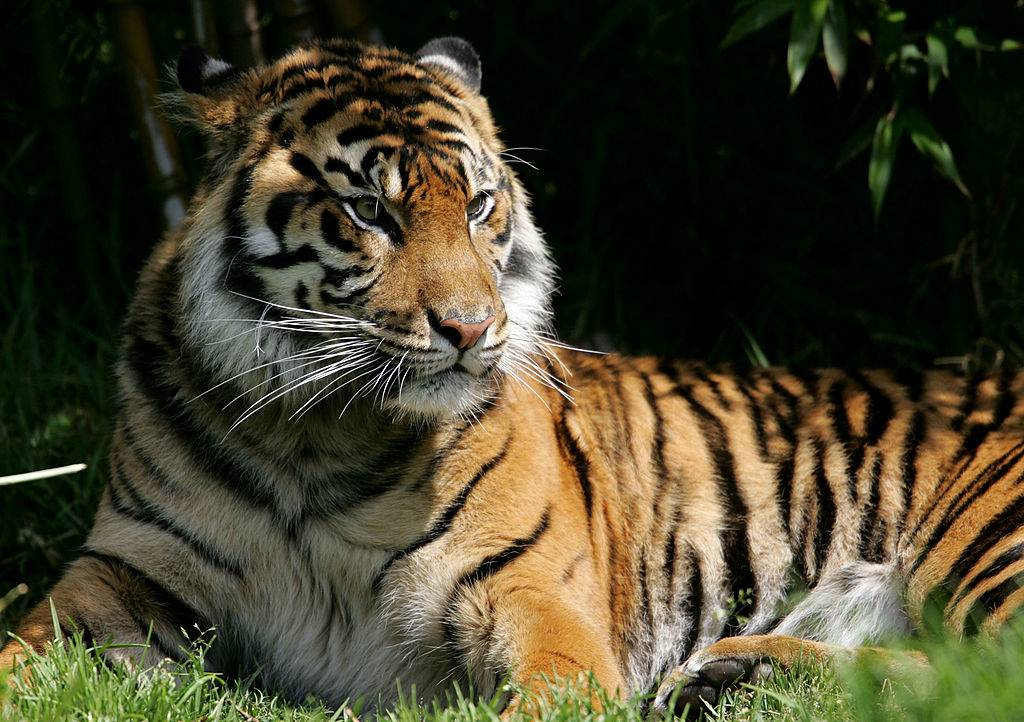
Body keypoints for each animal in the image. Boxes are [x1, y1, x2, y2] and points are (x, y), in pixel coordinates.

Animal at [4, 35, 1024, 718]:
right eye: (369, 211)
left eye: (480, 205)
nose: (470, 328)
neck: (317, 440)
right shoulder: (118, 574)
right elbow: (19, 649)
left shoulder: (531, 590)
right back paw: (737, 671)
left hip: (981, 543)